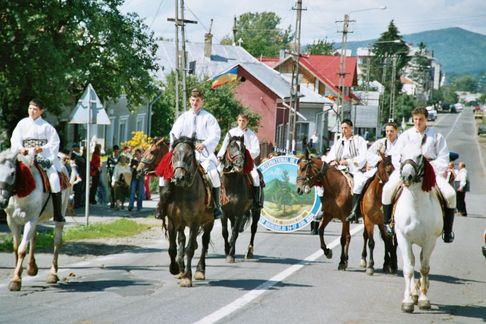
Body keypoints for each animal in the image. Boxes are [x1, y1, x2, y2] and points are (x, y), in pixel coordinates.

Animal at [0, 149, 69, 292]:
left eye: (12, 173)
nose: (1, 201)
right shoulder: (12, 221)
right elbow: (16, 247)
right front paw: (18, 274)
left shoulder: (30, 219)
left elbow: (21, 250)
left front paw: (16, 280)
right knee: (34, 237)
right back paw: (32, 267)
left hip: (60, 212)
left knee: (57, 241)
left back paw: (53, 273)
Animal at [166, 135, 214, 288]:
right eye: (174, 154)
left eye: (190, 155)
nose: (179, 178)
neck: (184, 193)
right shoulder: (172, 222)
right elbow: (173, 248)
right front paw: (175, 269)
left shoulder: (194, 223)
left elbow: (190, 249)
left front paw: (187, 277)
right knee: (182, 240)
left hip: (209, 222)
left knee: (204, 242)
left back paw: (200, 270)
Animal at [220, 135, 262, 264]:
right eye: (231, 146)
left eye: (243, 148)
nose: (239, 164)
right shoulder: (224, 212)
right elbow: (225, 232)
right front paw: (227, 250)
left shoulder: (239, 212)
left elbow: (234, 232)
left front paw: (231, 255)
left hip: (256, 211)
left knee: (253, 229)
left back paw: (249, 251)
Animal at [394, 143, 444, 312]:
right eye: (401, 155)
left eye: (420, 156)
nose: (406, 177)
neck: (415, 205)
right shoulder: (403, 238)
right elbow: (408, 269)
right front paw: (408, 301)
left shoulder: (430, 241)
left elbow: (424, 268)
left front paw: (423, 299)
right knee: (413, 262)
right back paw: (413, 293)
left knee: (422, 262)